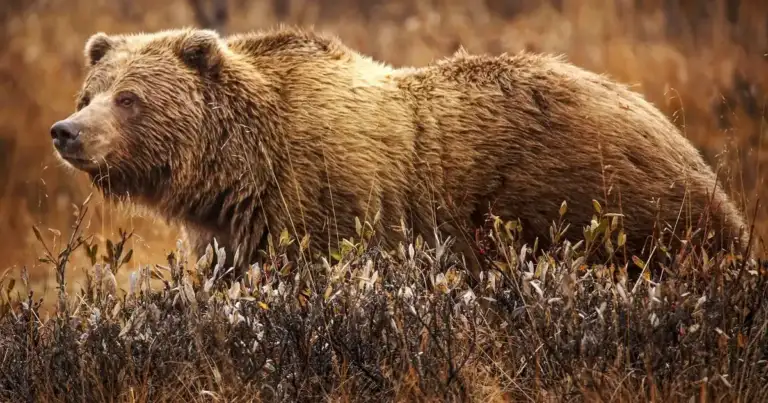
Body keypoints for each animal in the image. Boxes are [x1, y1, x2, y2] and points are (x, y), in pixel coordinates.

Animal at [49, 26, 749, 279]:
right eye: (91, 91)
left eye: (130, 98)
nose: (66, 130)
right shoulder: (236, 230)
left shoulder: (324, 203)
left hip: (608, 207)